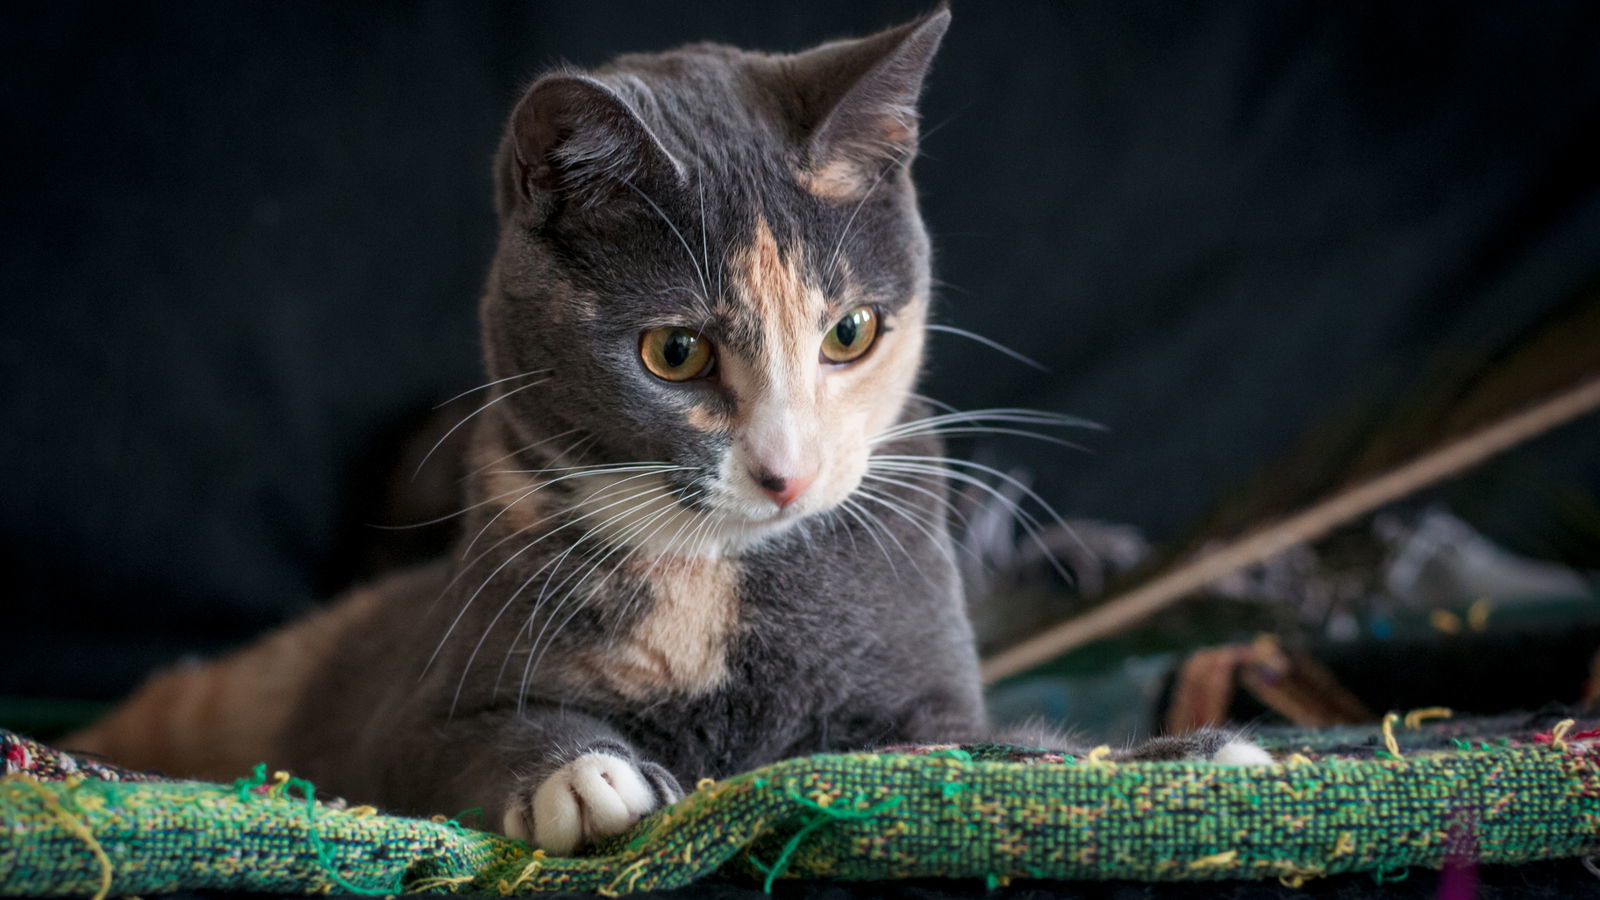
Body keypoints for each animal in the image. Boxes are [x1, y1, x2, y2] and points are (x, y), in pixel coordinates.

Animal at [59, 8, 1260, 851]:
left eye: (851, 331)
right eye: (675, 352)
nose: (785, 473)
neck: (720, 579)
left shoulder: (912, 704)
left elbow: (973, 755)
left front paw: (1195, 756)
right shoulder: (405, 715)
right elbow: (446, 744)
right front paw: (586, 776)